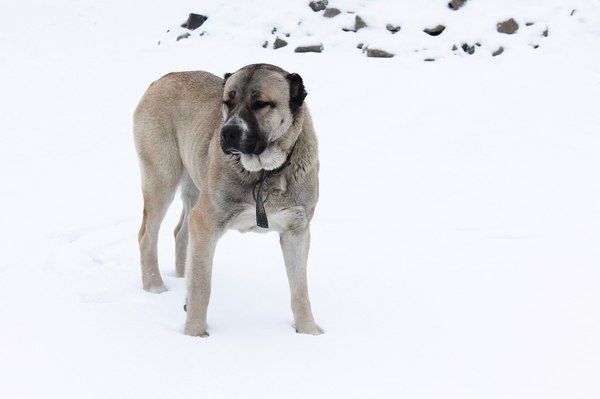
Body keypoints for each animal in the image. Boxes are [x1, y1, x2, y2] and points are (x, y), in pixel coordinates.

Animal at [133, 63, 324, 338]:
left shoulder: (296, 231)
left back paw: (180, 280)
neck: (265, 174)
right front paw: (195, 334)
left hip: (194, 184)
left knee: (181, 232)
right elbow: (202, 286)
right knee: (147, 236)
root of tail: (163, 78)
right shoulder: (206, 222)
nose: (228, 132)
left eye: (261, 103)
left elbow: (300, 291)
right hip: (161, 177)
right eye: (227, 102)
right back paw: (155, 288)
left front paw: (309, 333)